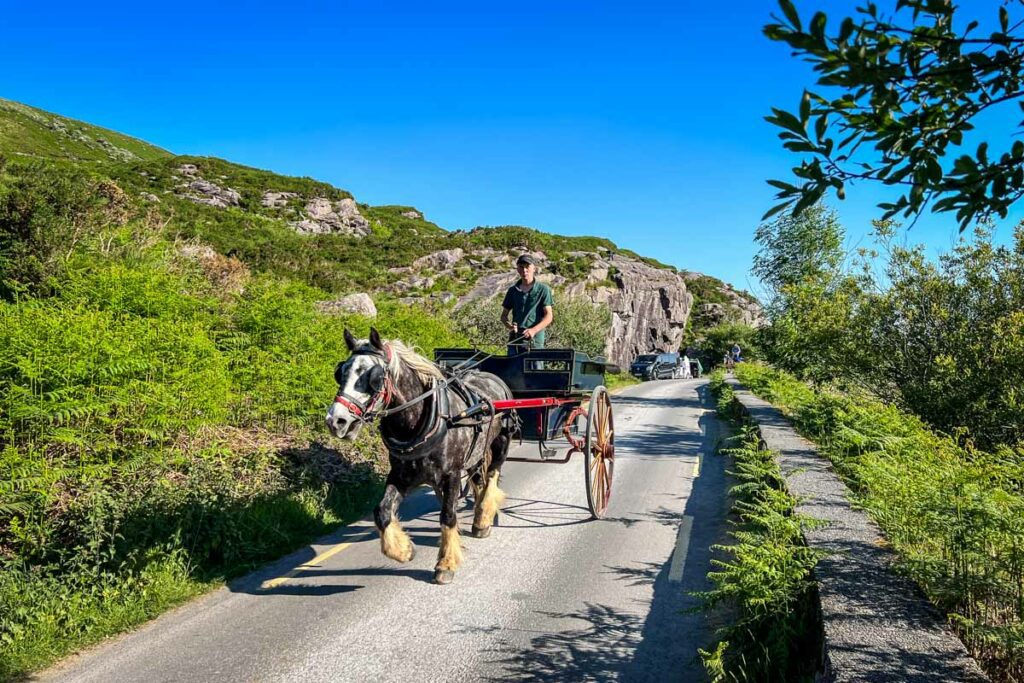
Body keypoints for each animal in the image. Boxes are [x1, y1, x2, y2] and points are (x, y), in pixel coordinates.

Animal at [325, 327, 512, 585]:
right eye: (340, 372)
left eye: (373, 377)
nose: (336, 421)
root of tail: (493, 378)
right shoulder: (401, 476)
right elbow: (382, 512)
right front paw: (403, 550)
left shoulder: (452, 475)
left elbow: (448, 515)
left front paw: (446, 563)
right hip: (476, 454)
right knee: (478, 480)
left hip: (501, 442)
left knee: (491, 477)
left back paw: (484, 516)